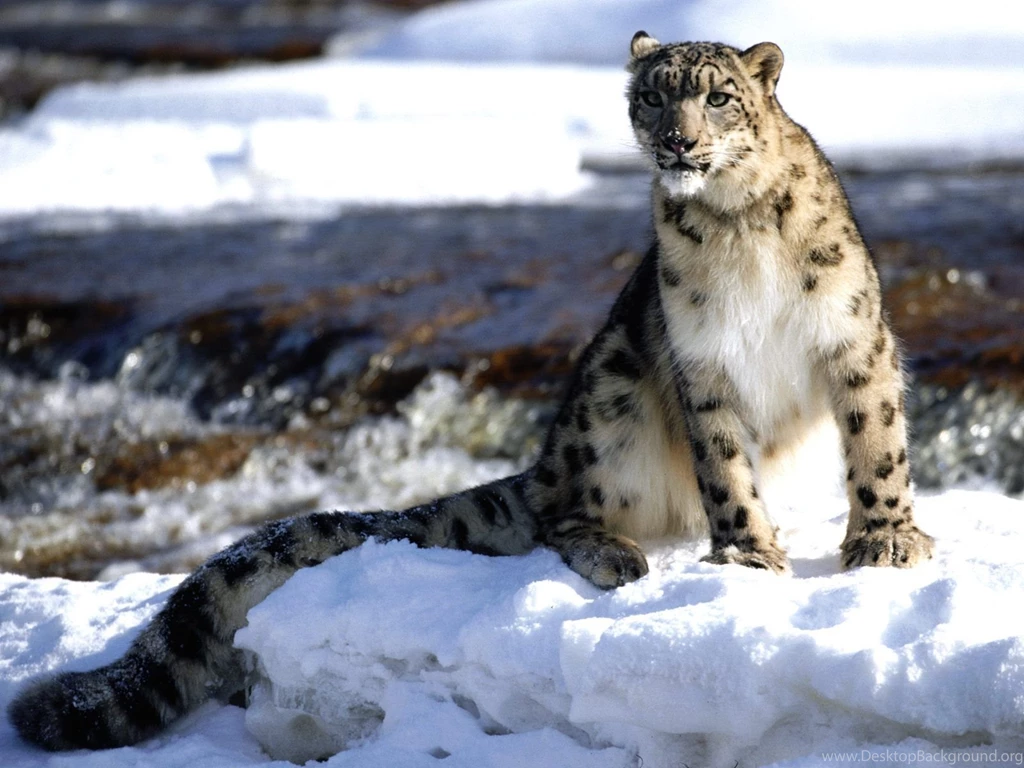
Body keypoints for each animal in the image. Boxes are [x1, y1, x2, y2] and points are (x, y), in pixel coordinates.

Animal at [8, 31, 933, 752]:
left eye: (718, 96)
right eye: (652, 98)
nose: (677, 142)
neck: (739, 228)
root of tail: (548, 459)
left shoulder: (854, 336)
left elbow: (877, 440)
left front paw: (885, 539)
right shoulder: (700, 365)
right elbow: (725, 469)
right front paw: (746, 554)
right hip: (611, 388)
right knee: (564, 512)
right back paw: (613, 550)